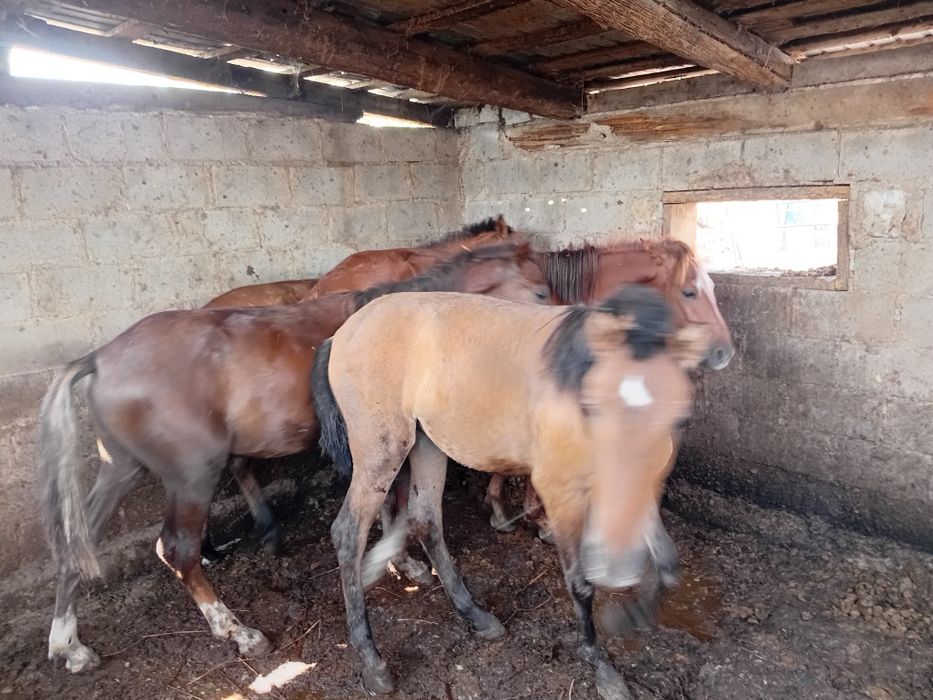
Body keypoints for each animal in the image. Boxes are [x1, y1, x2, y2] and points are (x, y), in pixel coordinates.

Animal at [38, 243, 550, 674]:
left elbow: (393, 507)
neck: (413, 322)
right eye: (541, 291)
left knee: (76, 545)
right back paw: (238, 631)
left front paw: (402, 563)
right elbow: (396, 504)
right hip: (192, 476)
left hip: (120, 469)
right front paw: (401, 562)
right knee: (178, 550)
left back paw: (70, 646)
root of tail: (99, 358)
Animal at [312, 285, 708, 697]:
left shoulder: (636, 492)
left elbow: (668, 564)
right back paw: (372, 662)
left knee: (426, 521)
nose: (617, 570)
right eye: (592, 406)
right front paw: (600, 666)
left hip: (426, 444)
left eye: (679, 418)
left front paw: (632, 614)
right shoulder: (562, 490)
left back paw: (475, 614)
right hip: (383, 450)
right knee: (349, 533)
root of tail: (340, 335)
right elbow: (581, 583)